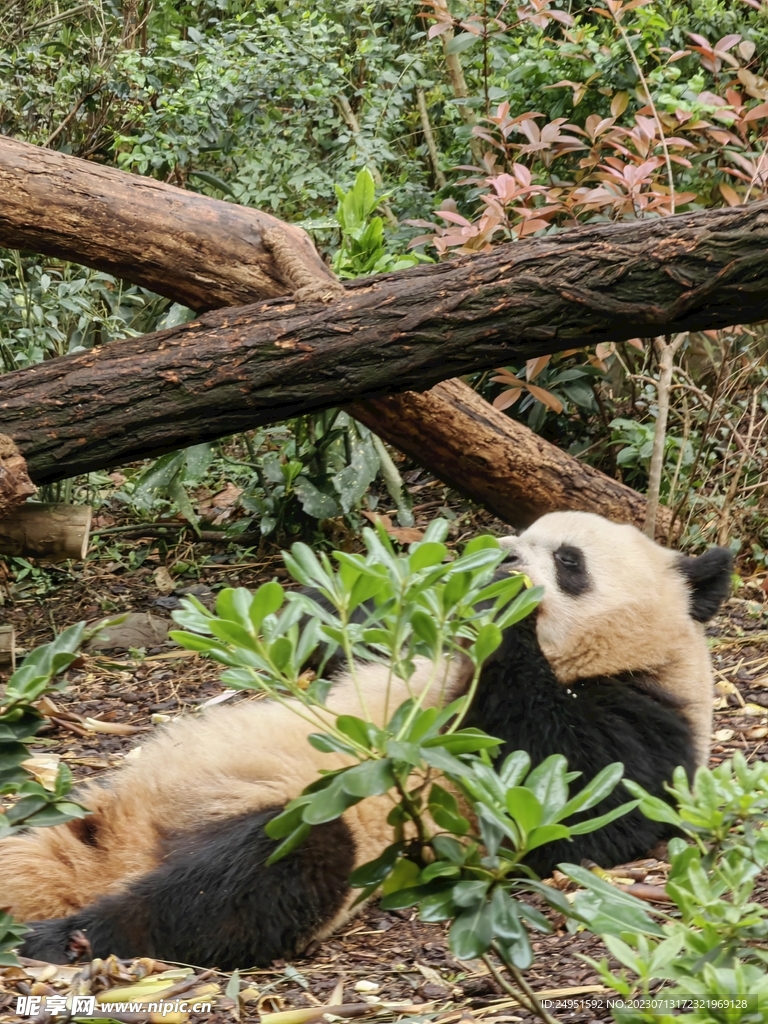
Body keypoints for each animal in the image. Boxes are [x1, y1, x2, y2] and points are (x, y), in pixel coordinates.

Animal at [0, 512, 733, 966]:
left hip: (319, 822)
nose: (497, 555)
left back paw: (63, 939)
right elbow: (346, 634)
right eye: (525, 533)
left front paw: (499, 604)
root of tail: (131, 845)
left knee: (244, 883)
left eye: (569, 560)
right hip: (83, 810)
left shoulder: (645, 721)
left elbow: (565, 788)